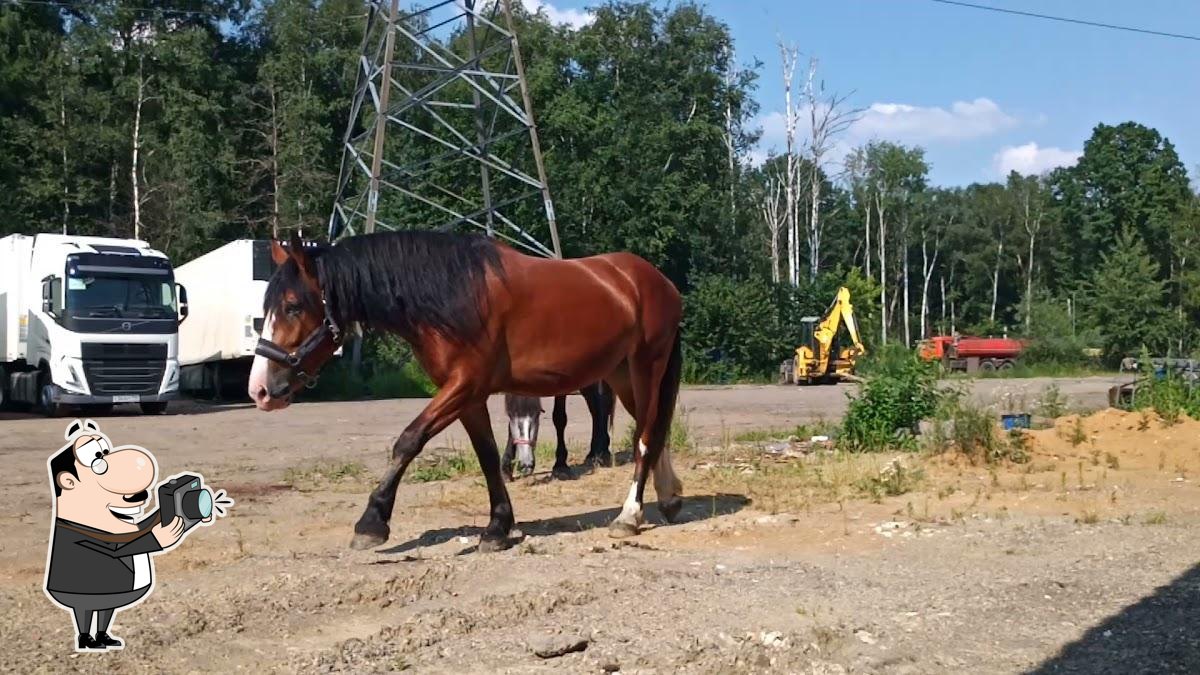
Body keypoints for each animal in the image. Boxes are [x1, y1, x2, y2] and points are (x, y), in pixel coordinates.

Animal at [247, 228, 681, 550]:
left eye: (293, 306)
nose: (260, 391)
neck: (454, 294)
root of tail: (657, 281)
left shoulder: (464, 385)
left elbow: (408, 440)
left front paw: (372, 521)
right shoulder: (468, 395)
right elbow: (487, 455)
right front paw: (497, 527)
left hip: (646, 367)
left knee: (645, 436)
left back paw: (628, 516)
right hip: (622, 374)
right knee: (654, 430)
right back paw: (670, 497)